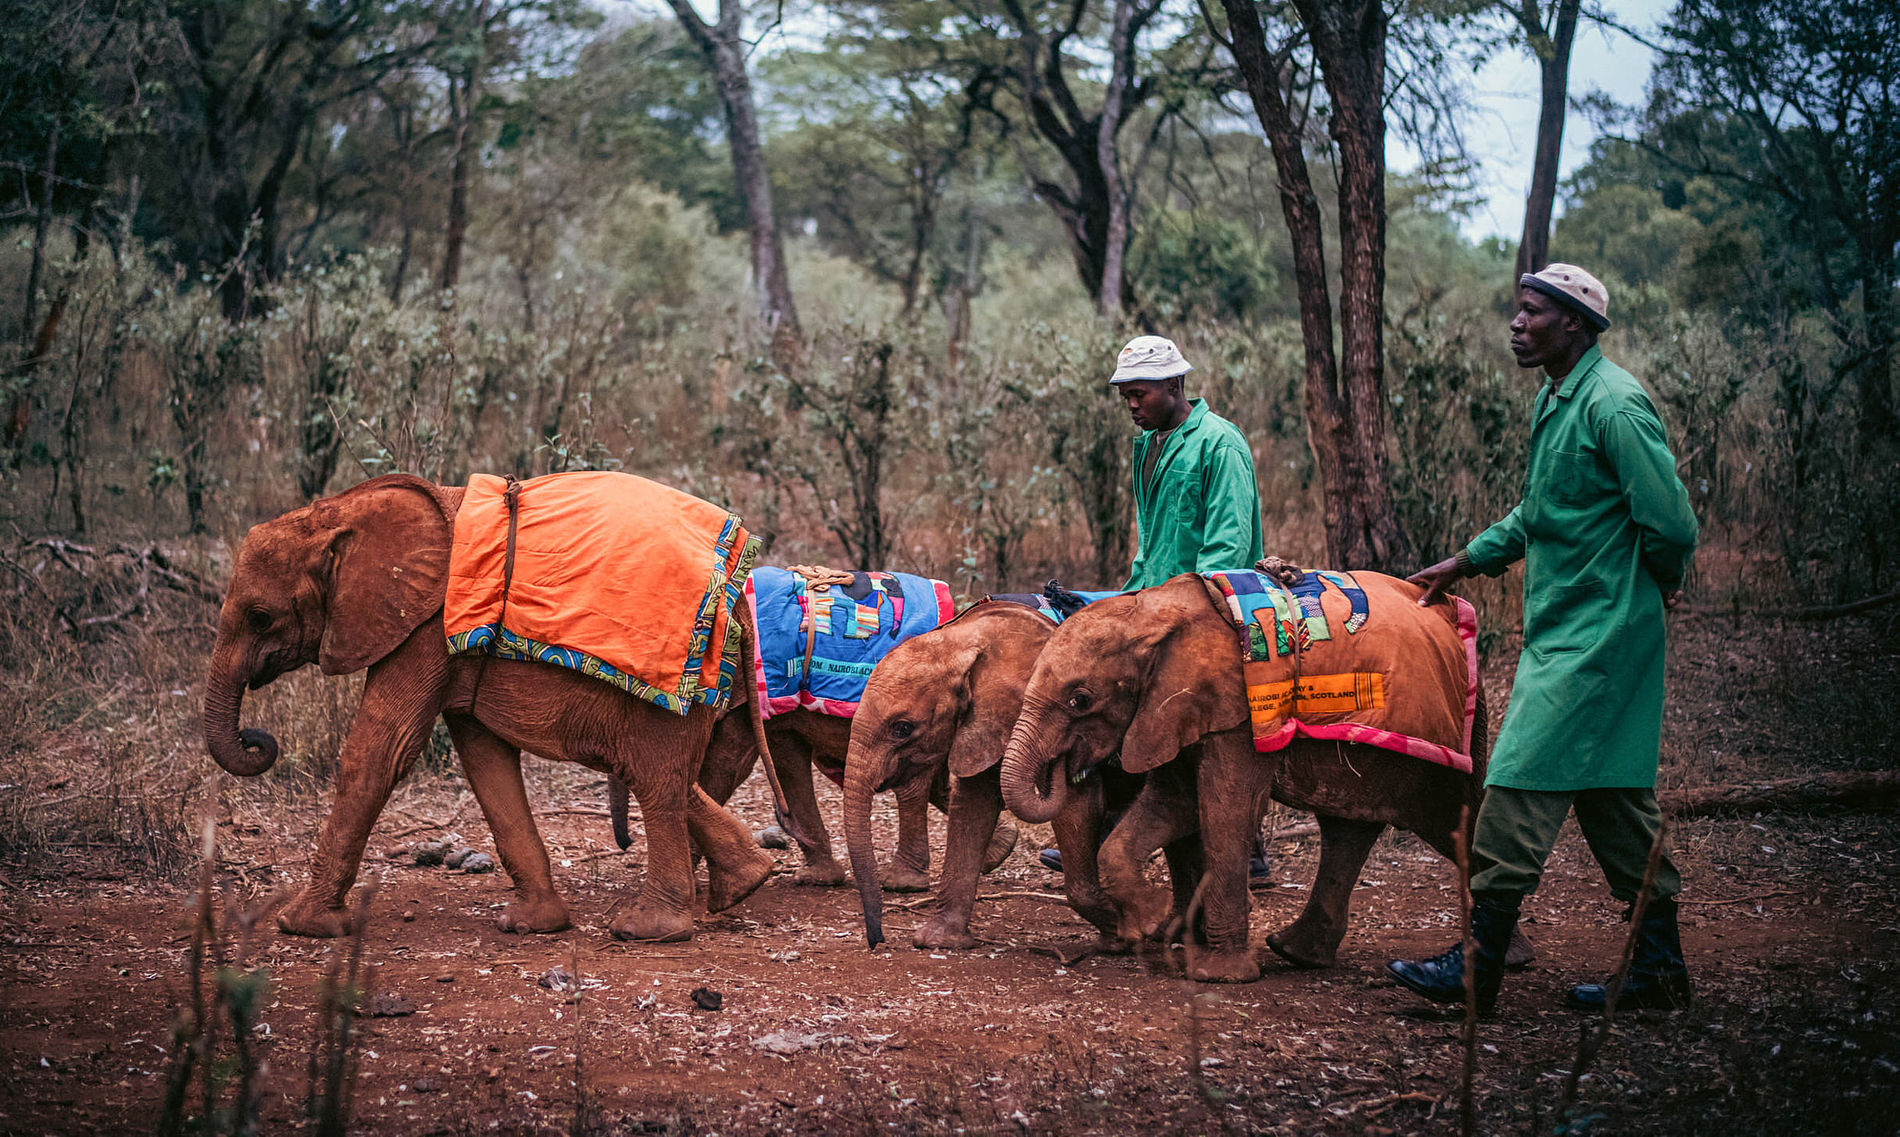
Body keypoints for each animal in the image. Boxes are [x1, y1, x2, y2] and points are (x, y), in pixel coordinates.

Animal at [203, 473, 782, 944]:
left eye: (259, 617)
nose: (259, 740)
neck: (339, 511)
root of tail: (737, 596)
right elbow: (485, 758)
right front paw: (531, 925)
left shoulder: (423, 630)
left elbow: (382, 750)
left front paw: (302, 925)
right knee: (661, 776)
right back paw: (744, 885)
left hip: (677, 683)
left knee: (656, 779)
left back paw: (648, 930)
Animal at [608, 707, 1019, 893]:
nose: (626, 843)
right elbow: (782, 755)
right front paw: (819, 878)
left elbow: (729, 764)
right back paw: (999, 852)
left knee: (914, 782)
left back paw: (903, 883)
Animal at [1000, 574, 1509, 984]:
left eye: (1080, 700)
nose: (1069, 765)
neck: (1151, 610)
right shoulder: (1174, 708)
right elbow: (1175, 800)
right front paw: (1151, 924)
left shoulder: (1237, 710)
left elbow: (1226, 805)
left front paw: (1215, 973)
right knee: (1348, 829)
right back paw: (1297, 953)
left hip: (1454, 737)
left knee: (1452, 817)